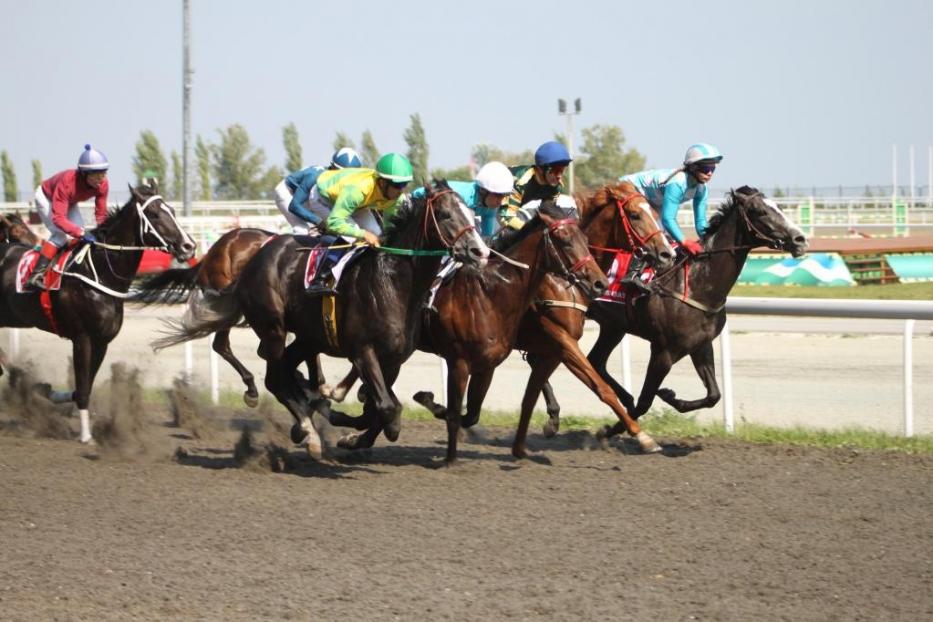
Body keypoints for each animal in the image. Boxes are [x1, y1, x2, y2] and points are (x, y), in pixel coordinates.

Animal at [0, 185, 195, 444]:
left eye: (172, 210)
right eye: (153, 214)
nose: (188, 246)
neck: (100, 274)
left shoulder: (102, 341)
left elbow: (84, 386)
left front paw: (51, 393)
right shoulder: (82, 338)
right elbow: (82, 387)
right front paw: (85, 435)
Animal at [231, 179, 488, 458]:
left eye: (471, 212)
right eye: (444, 214)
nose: (480, 251)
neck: (393, 284)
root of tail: (257, 255)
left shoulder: (393, 359)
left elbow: (376, 408)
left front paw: (342, 423)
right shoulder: (363, 351)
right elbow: (387, 408)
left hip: (309, 337)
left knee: (288, 369)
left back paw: (309, 415)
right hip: (273, 328)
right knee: (274, 379)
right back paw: (309, 432)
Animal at [334, 200, 612, 464]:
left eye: (585, 239)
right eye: (564, 239)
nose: (600, 282)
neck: (491, 292)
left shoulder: (503, 359)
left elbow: (478, 412)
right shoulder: (464, 359)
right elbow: (458, 412)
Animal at [576, 185, 808, 438]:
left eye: (780, 207)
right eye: (760, 211)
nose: (800, 239)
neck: (699, 284)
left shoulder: (700, 345)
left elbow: (714, 395)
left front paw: (670, 396)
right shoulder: (663, 351)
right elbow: (645, 401)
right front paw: (612, 429)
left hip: (613, 327)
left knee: (596, 360)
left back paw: (625, 396)